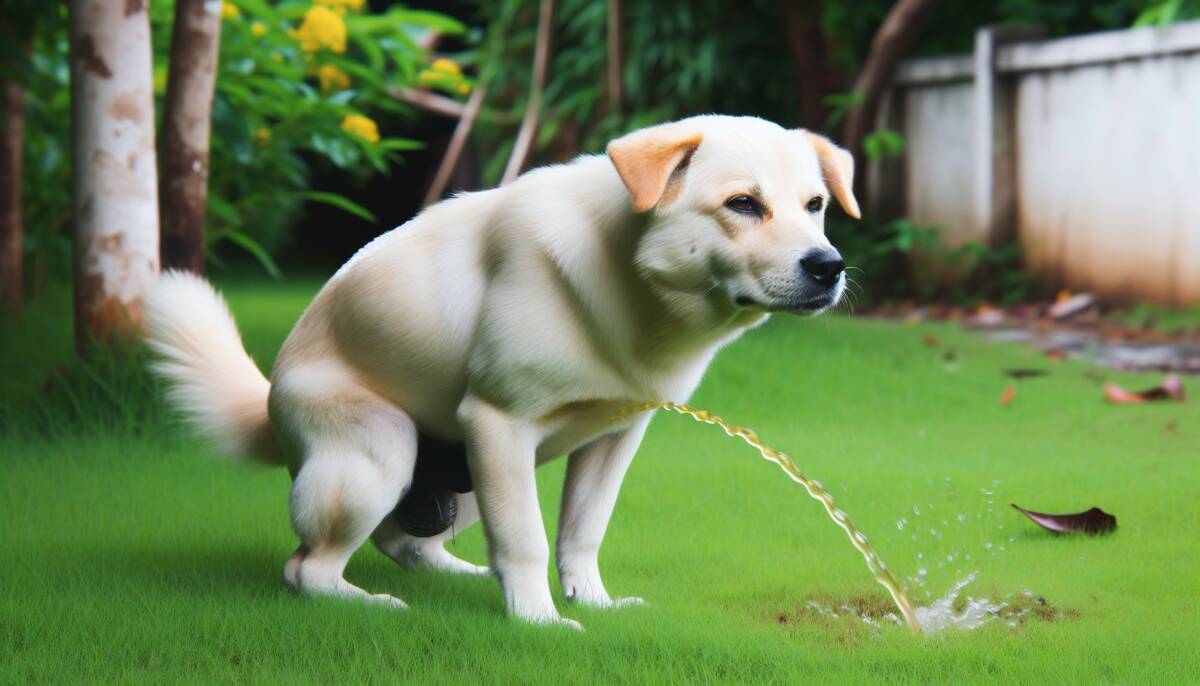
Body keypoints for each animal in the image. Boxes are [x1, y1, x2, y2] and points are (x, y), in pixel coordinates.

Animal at [145, 113, 859, 628]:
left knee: (406, 544)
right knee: (308, 570)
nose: (830, 266)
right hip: (386, 453)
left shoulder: (615, 437)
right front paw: (539, 622)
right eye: (743, 204)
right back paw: (369, 603)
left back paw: (461, 577)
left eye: (815, 205)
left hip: (462, 477)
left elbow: (581, 532)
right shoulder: (498, 423)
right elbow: (526, 541)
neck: (633, 289)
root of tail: (270, 396)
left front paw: (593, 603)